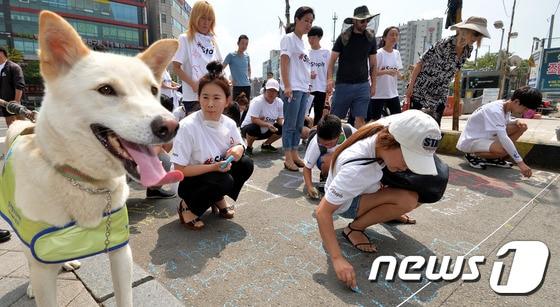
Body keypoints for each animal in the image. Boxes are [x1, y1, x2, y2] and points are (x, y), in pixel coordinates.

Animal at [0, 10, 179, 306]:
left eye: (153, 91)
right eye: (106, 90)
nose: (171, 126)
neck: (86, 181)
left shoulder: (121, 252)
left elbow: (125, 297)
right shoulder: (40, 257)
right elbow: (40, 274)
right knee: (29, 258)